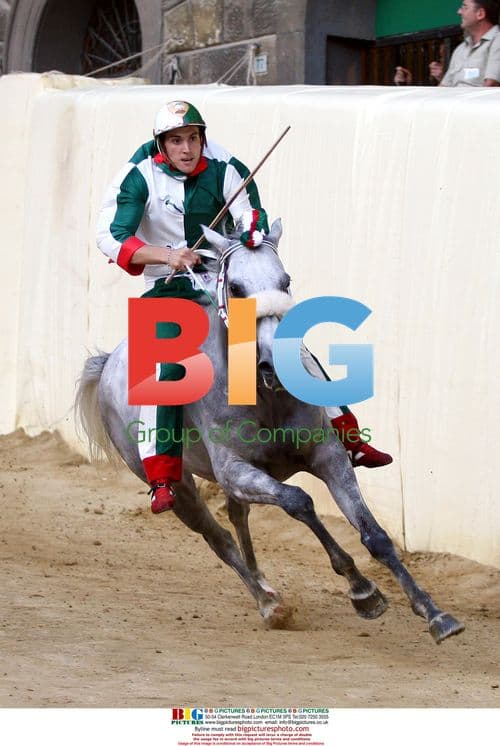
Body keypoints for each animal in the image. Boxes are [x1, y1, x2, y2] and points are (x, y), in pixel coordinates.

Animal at [75, 219, 464, 644]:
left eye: (285, 280)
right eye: (235, 287)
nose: (277, 360)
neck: (263, 395)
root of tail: (108, 362)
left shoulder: (328, 458)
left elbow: (373, 534)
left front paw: (435, 613)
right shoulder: (235, 471)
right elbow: (299, 502)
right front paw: (362, 589)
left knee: (236, 515)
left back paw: (265, 585)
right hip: (177, 487)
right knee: (218, 537)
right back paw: (267, 602)